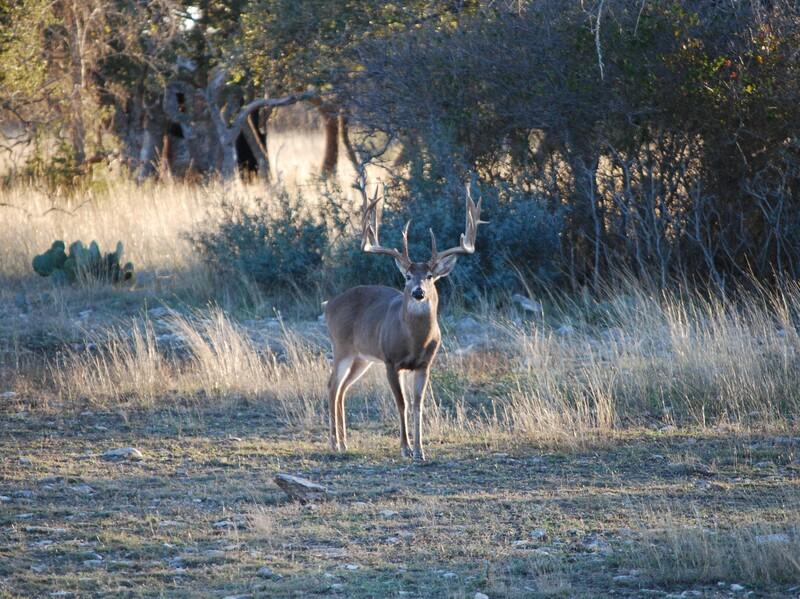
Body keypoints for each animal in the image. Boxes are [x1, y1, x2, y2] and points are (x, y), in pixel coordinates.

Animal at [324, 182, 485, 460]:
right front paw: (405, 448)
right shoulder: (391, 361)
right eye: (408, 276)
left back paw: (343, 441)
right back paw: (336, 443)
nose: (418, 292)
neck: (415, 341)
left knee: (342, 389)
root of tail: (329, 305)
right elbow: (403, 403)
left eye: (430, 276)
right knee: (332, 384)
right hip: (342, 347)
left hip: (362, 357)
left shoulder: (425, 364)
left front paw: (421, 449)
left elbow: (418, 404)